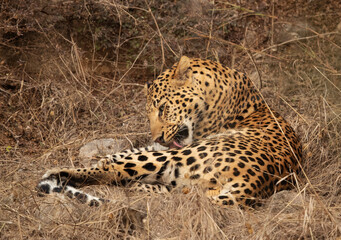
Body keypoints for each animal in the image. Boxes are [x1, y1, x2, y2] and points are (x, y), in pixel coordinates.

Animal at [37, 55, 302, 207]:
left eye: (163, 108)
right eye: (149, 115)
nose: (158, 137)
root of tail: (252, 185)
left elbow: (125, 157)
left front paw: (104, 159)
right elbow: (131, 150)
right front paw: (108, 155)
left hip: (178, 155)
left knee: (115, 172)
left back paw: (57, 173)